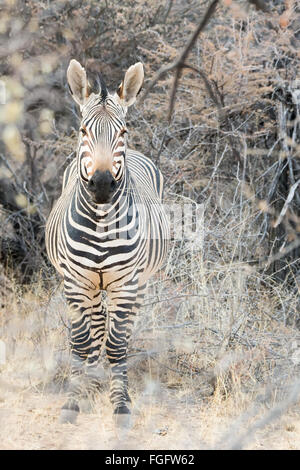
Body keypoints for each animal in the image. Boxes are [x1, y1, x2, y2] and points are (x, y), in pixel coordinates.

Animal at [45, 59, 170, 426]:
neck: (101, 223)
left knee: (119, 331)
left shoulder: (125, 284)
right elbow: (81, 342)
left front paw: (121, 404)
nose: (101, 184)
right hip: (91, 285)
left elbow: (116, 344)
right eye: (82, 131)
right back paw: (90, 379)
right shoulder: (75, 282)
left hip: (139, 283)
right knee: (98, 325)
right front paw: (73, 399)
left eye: (123, 132)